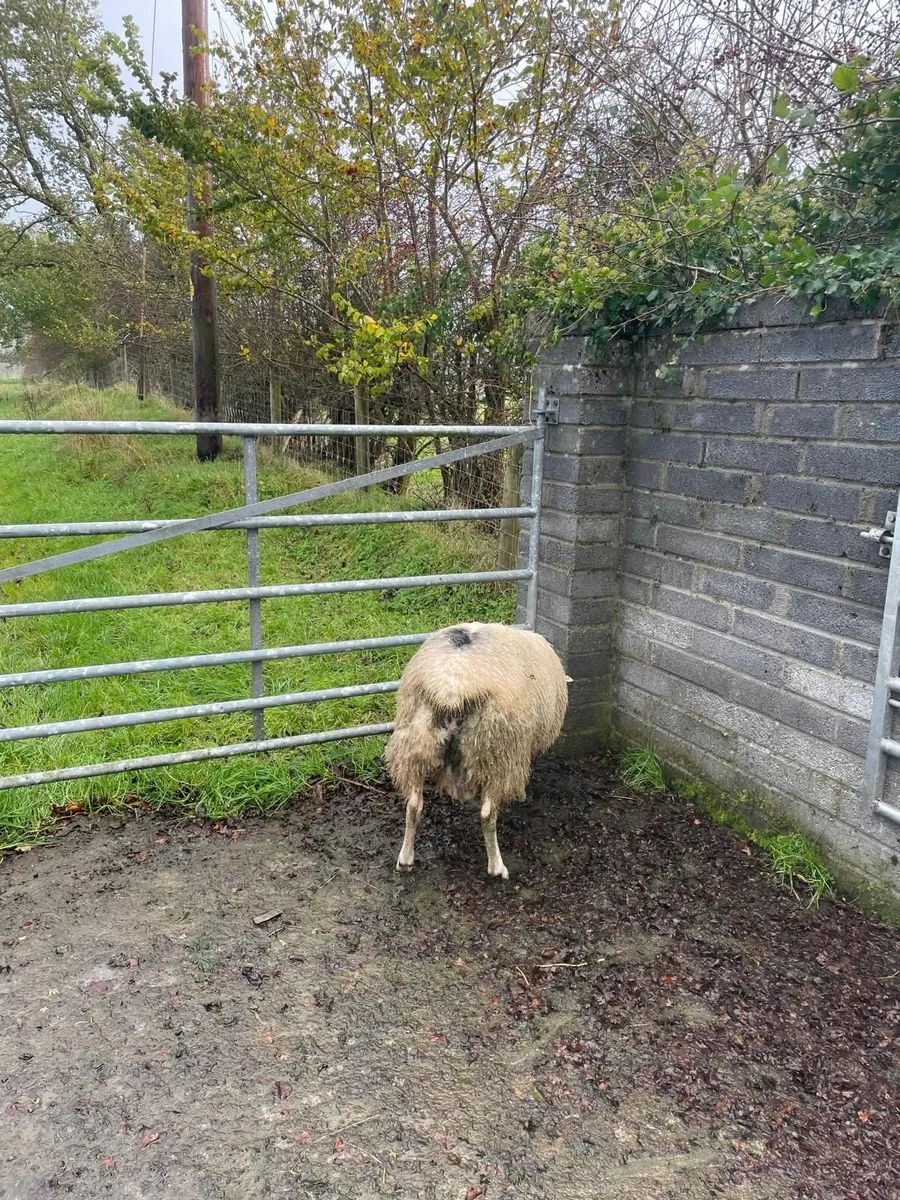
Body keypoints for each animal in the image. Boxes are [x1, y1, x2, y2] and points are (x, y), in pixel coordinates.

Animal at [384, 622, 570, 880]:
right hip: (496, 749)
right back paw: (497, 867)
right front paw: (522, 794)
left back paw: (405, 860)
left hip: (415, 740)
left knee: (413, 805)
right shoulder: (520, 749)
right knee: (487, 814)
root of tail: (452, 686)